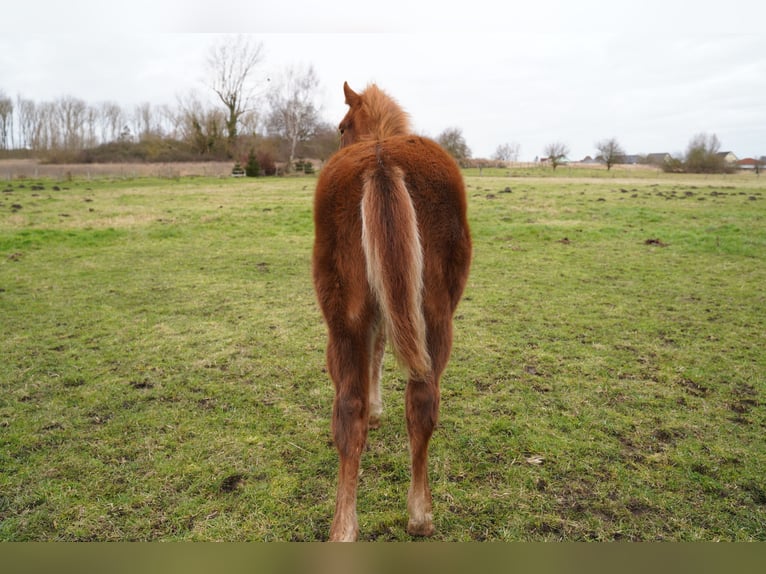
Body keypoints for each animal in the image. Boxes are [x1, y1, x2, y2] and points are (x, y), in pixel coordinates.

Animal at [312, 82, 472, 541]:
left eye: (342, 127)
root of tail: (382, 161)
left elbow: (379, 355)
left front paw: (377, 409)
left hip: (348, 323)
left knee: (358, 407)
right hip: (430, 317)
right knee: (417, 401)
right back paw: (414, 516)